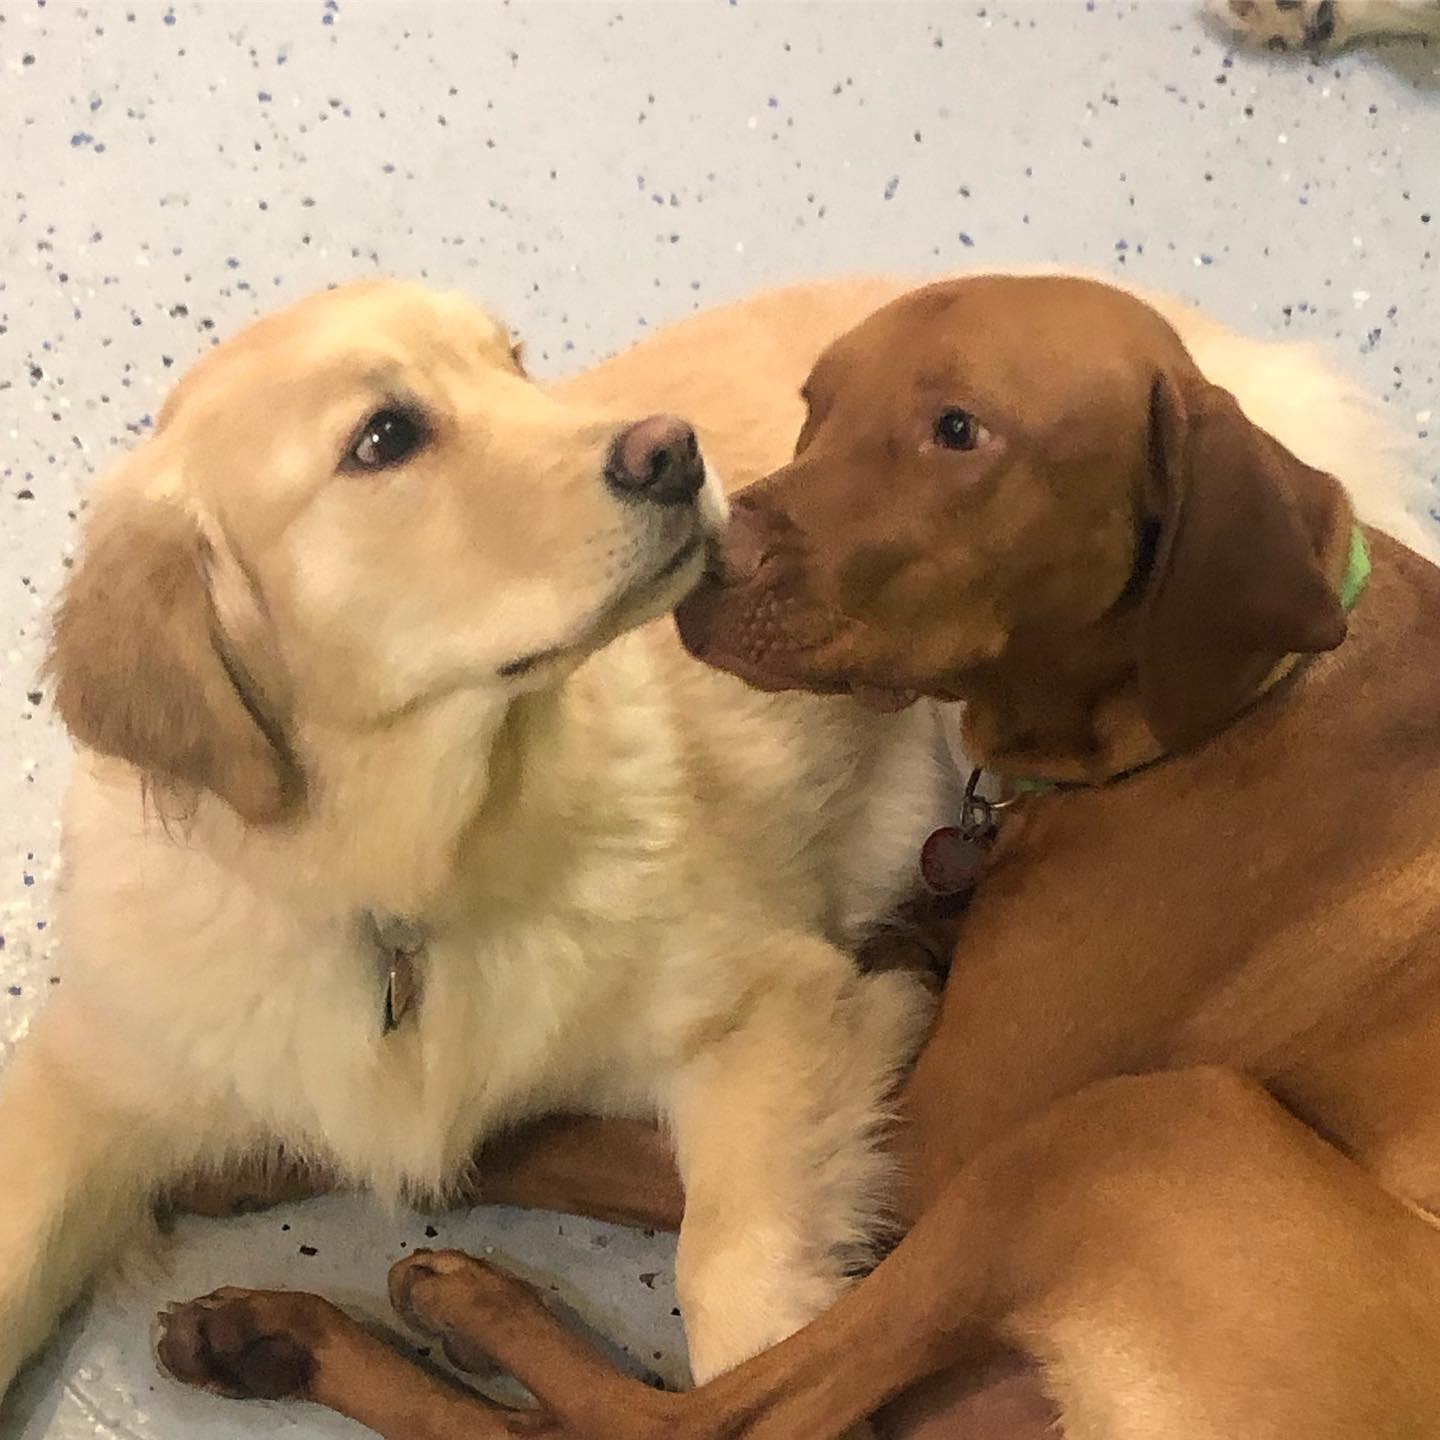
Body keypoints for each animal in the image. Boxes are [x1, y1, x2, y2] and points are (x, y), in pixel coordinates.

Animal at [0, 277, 949, 1409]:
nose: (676, 450)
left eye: (515, 364)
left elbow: (738, 1297)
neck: (405, 896)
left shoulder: (777, 1004)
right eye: (385, 437)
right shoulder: (90, 1082)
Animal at [142, 273, 1440, 1440]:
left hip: (1136, 1133)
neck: (1231, 708)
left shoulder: (916, 1144)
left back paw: (433, 1306)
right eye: (818, 401)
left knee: (696, 1422)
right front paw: (244, 1161)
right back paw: (275, 1337)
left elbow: (532, 1136)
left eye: (959, 432)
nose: (704, 555)